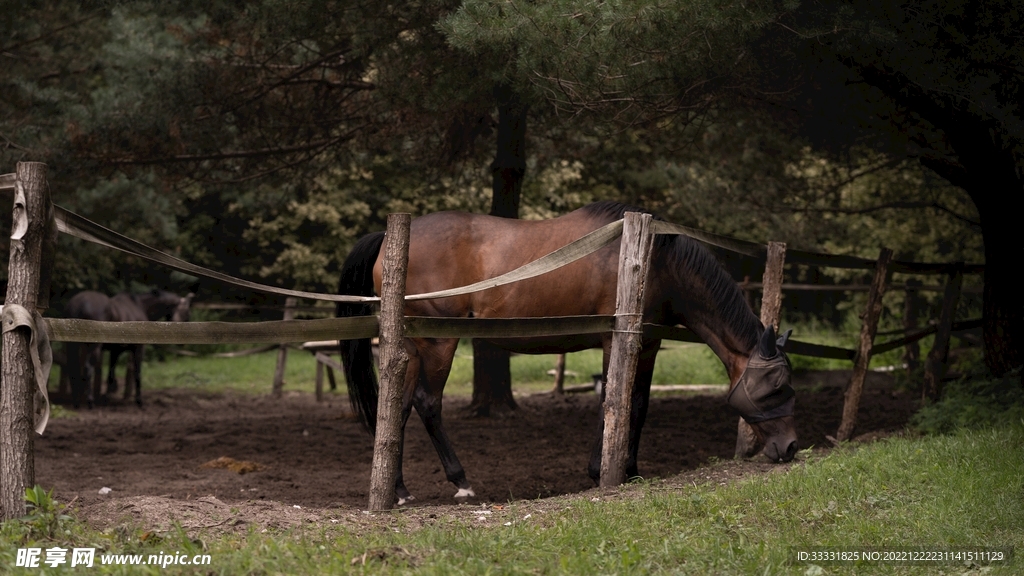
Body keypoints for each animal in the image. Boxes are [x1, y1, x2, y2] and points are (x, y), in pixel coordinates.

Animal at [337, 201, 797, 505]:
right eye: (776, 386)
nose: (791, 448)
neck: (655, 259)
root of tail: (388, 238)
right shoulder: (615, 340)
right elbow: (613, 402)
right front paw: (601, 473)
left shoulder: (647, 344)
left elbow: (639, 405)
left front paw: (631, 469)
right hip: (438, 343)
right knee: (428, 403)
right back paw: (460, 482)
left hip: (410, 348)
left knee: (398, 407)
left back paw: (398, 491)